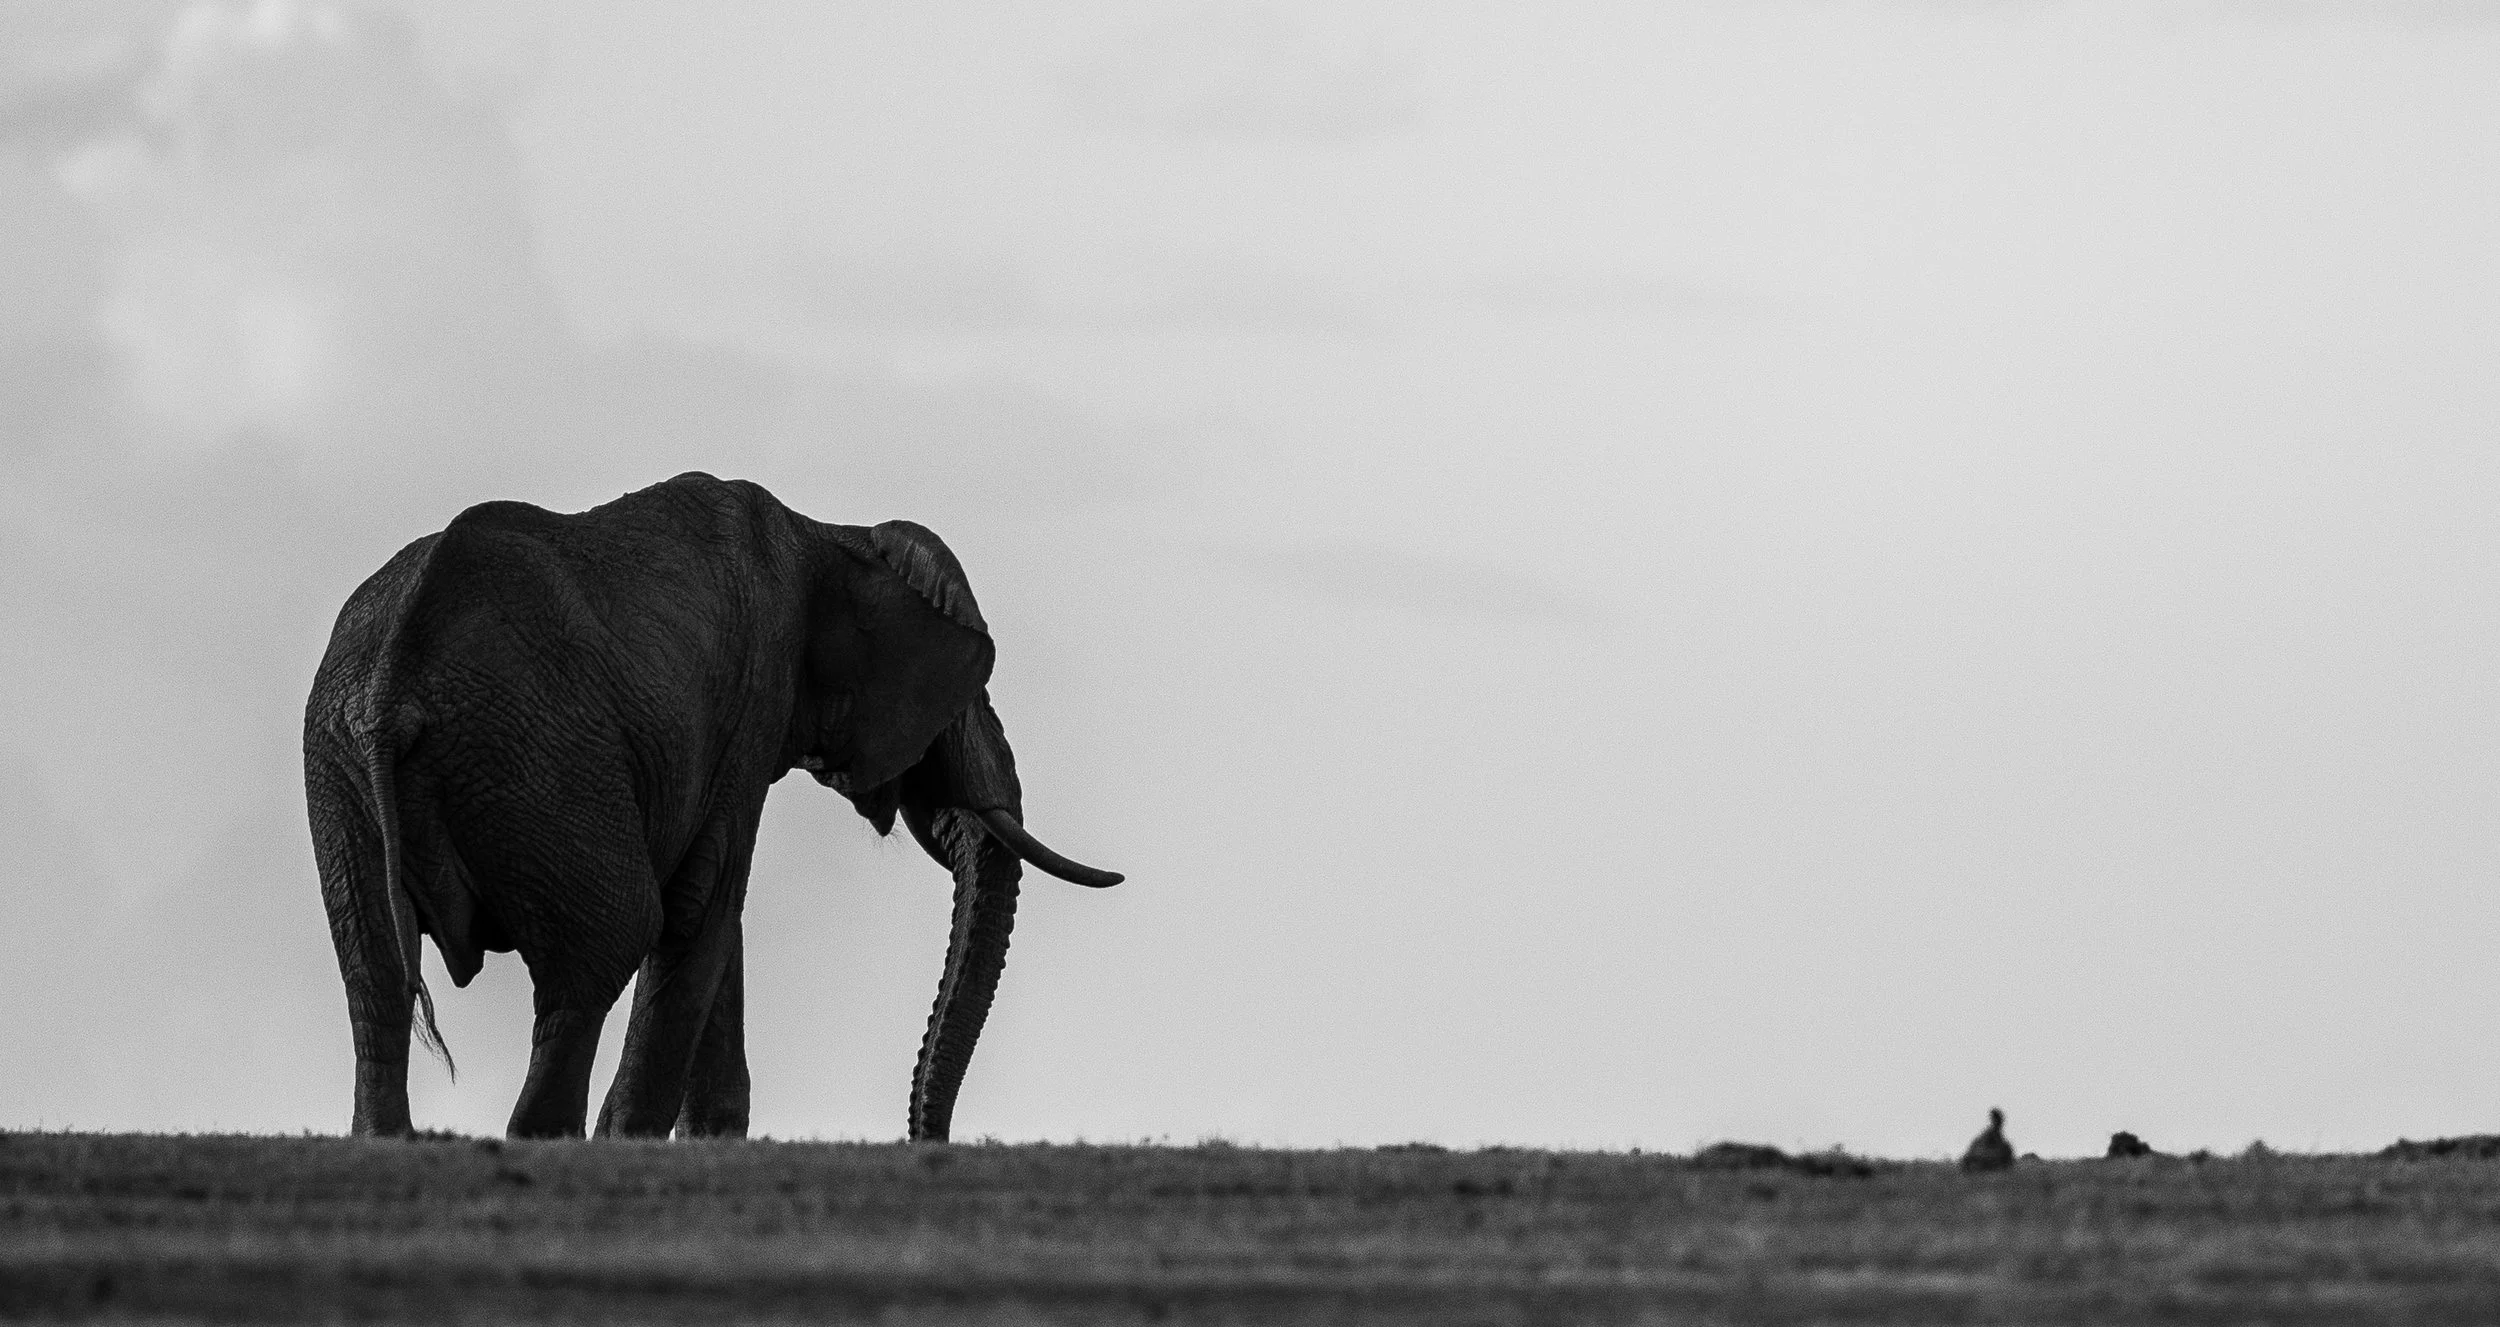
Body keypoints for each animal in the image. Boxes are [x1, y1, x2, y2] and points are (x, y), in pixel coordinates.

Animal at [303, 472, 1120, 1141]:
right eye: (970, 693)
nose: (926, 1138)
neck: (834, 536)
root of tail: (393, 690)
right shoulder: (754, 700)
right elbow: (704, 906)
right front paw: (638, 1140)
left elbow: (714, 919)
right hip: (531, 754)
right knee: (611, 939)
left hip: (343, 777)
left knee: (372, 969)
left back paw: (388, 1137)